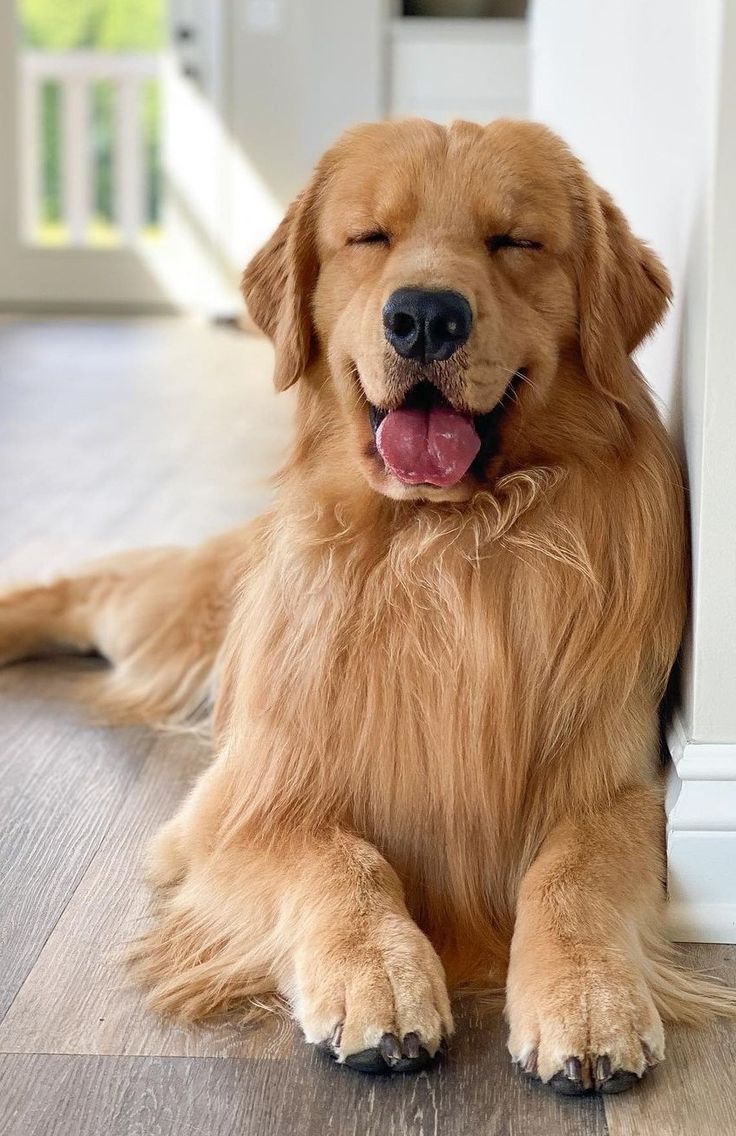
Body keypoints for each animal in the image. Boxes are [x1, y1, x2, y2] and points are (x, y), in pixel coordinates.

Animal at [2, 117, 731, 1090]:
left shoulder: (621, 785)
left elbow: (569, 872)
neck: (439, 549)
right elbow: (343, 861)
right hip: (170, 618)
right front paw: (379, 977)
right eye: (369, 237)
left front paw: (587, 997)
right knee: (81, 586)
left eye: (514, 241)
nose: (425, 316)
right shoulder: (244, 796)